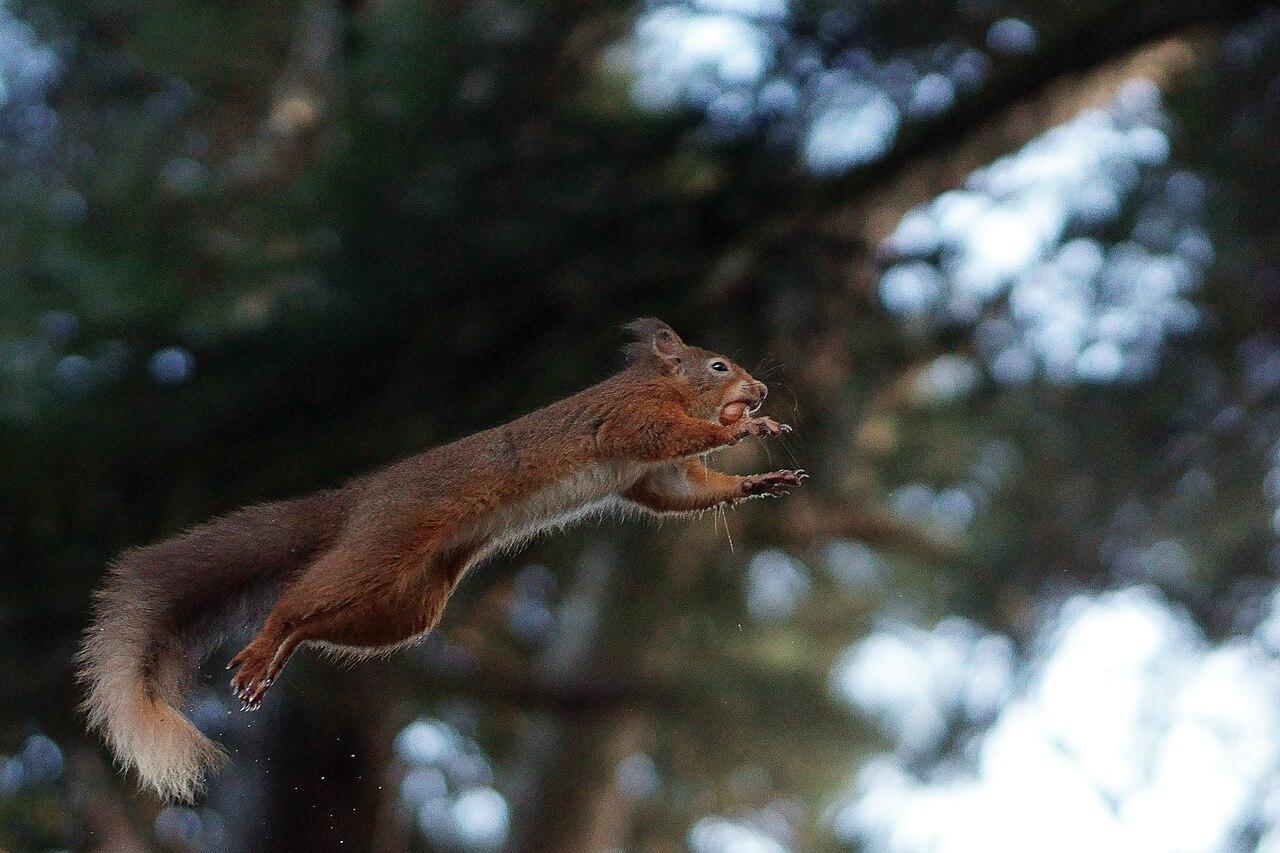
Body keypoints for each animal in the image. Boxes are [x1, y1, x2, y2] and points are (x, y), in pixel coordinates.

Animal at [78, 318, 803, 802]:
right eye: (717, 366)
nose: (762, 391)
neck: (660, 383)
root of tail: (362, 497)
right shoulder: (631, 419)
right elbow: (668, 437)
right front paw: (743, 428)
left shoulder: (654, 475)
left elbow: (677, 491)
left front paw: (757, 480)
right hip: (382, 547)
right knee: (295, 602)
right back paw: (261, 649)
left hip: (407, 604)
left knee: (321, 623)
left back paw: (276, 661)